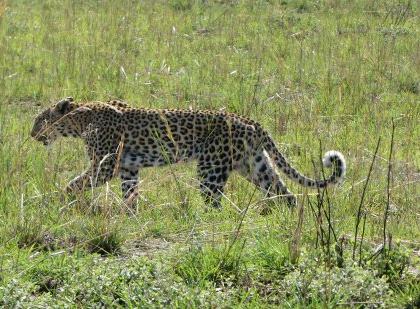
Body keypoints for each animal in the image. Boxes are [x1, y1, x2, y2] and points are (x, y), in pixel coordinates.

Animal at [28, 97, 344, 209]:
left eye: (39, 119)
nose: (32, 134)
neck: (80, 119)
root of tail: (249, 120)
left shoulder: (106, 165)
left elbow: (75, 183)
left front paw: (62, 199)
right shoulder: (128, 168)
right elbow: (130, 192)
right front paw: (130, 214)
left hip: (211, 169)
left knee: (213, 203)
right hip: (255, 165)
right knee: (285, 193)